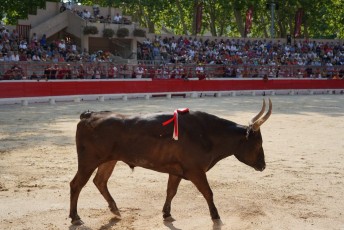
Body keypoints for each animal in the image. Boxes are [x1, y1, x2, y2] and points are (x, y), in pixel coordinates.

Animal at [70, 98, 272, 225]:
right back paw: (76, 217)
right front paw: (216, 216)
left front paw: (166, 213)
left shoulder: (177, 171)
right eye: (258, 143)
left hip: (109, 160)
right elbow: (208, 192)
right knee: (76, 184)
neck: (208, 134)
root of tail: (90, 115)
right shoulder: (196, 170)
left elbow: (171, 191)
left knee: (100, 181)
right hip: (88, 161)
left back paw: (115, 210)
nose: (263, 165)